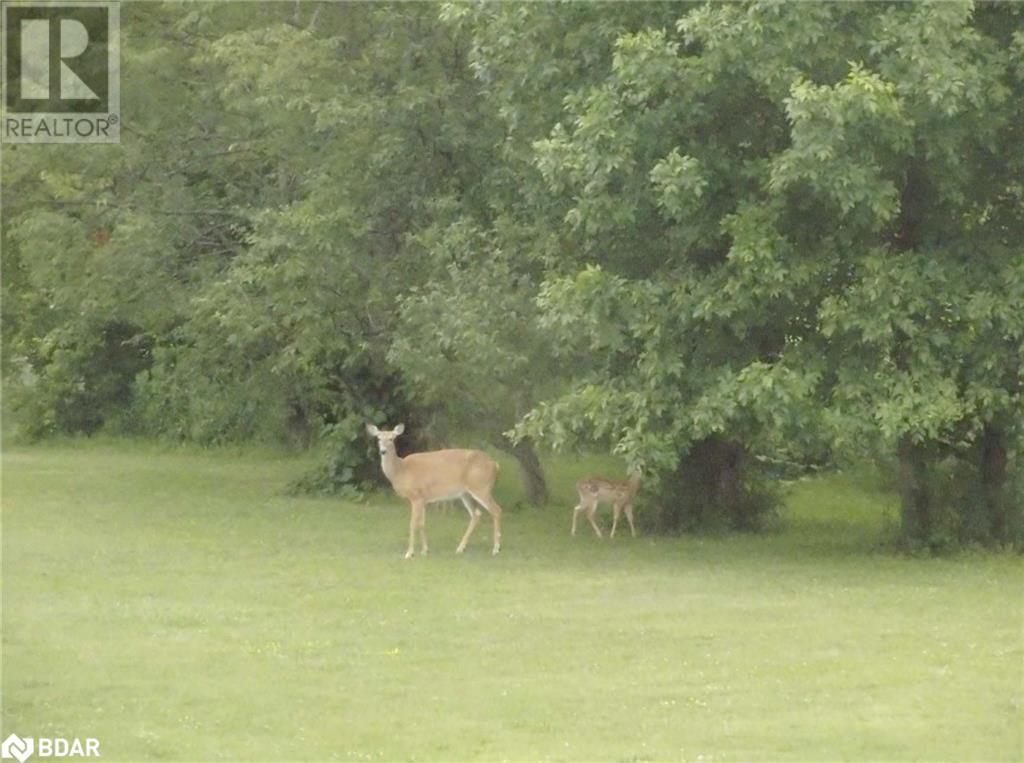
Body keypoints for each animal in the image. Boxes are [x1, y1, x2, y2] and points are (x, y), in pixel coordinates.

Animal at [366, 419, 501, 557]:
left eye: (392, 439)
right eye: (378, 438)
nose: (383, 451)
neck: (401, 470)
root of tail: (495, 465)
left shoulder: (416, 496)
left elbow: (413, 524)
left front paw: (409, 553)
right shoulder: (423, 498)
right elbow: (421, 523)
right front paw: (425, 550)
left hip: (481, 487)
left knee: (496, 510)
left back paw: (496, 548)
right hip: (465, 493)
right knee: (476, 514)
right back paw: (460, 548)